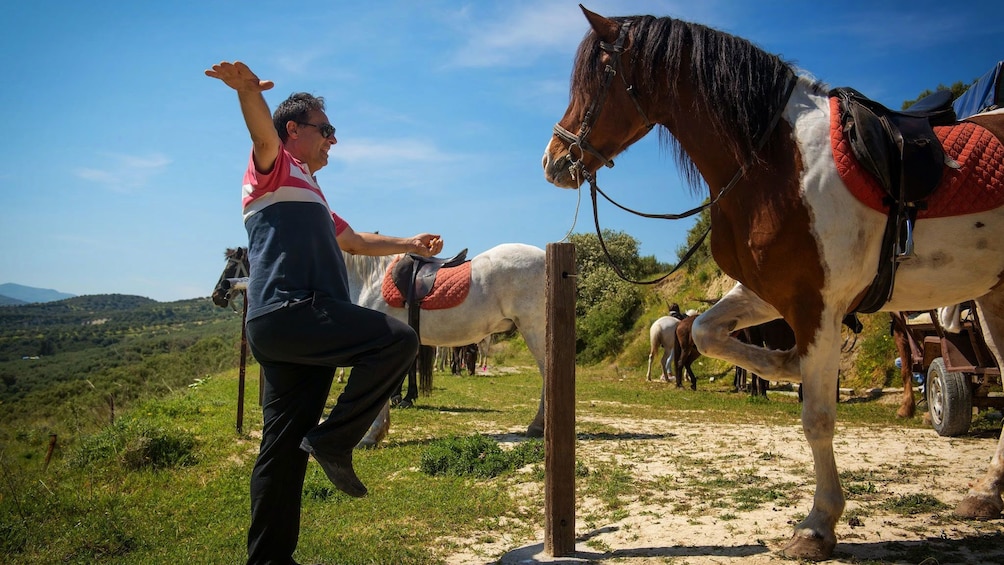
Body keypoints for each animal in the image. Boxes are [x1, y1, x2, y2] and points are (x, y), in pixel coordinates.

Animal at [546, 5, 1003, 561]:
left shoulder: (815, 303)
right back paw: (987, 493)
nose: (552, 161)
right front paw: (784, 364)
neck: (775, 163)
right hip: (994, 297)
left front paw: (818, 525)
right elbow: (707, 333)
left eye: (597, 80)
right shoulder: (768, 292)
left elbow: (817, 418)